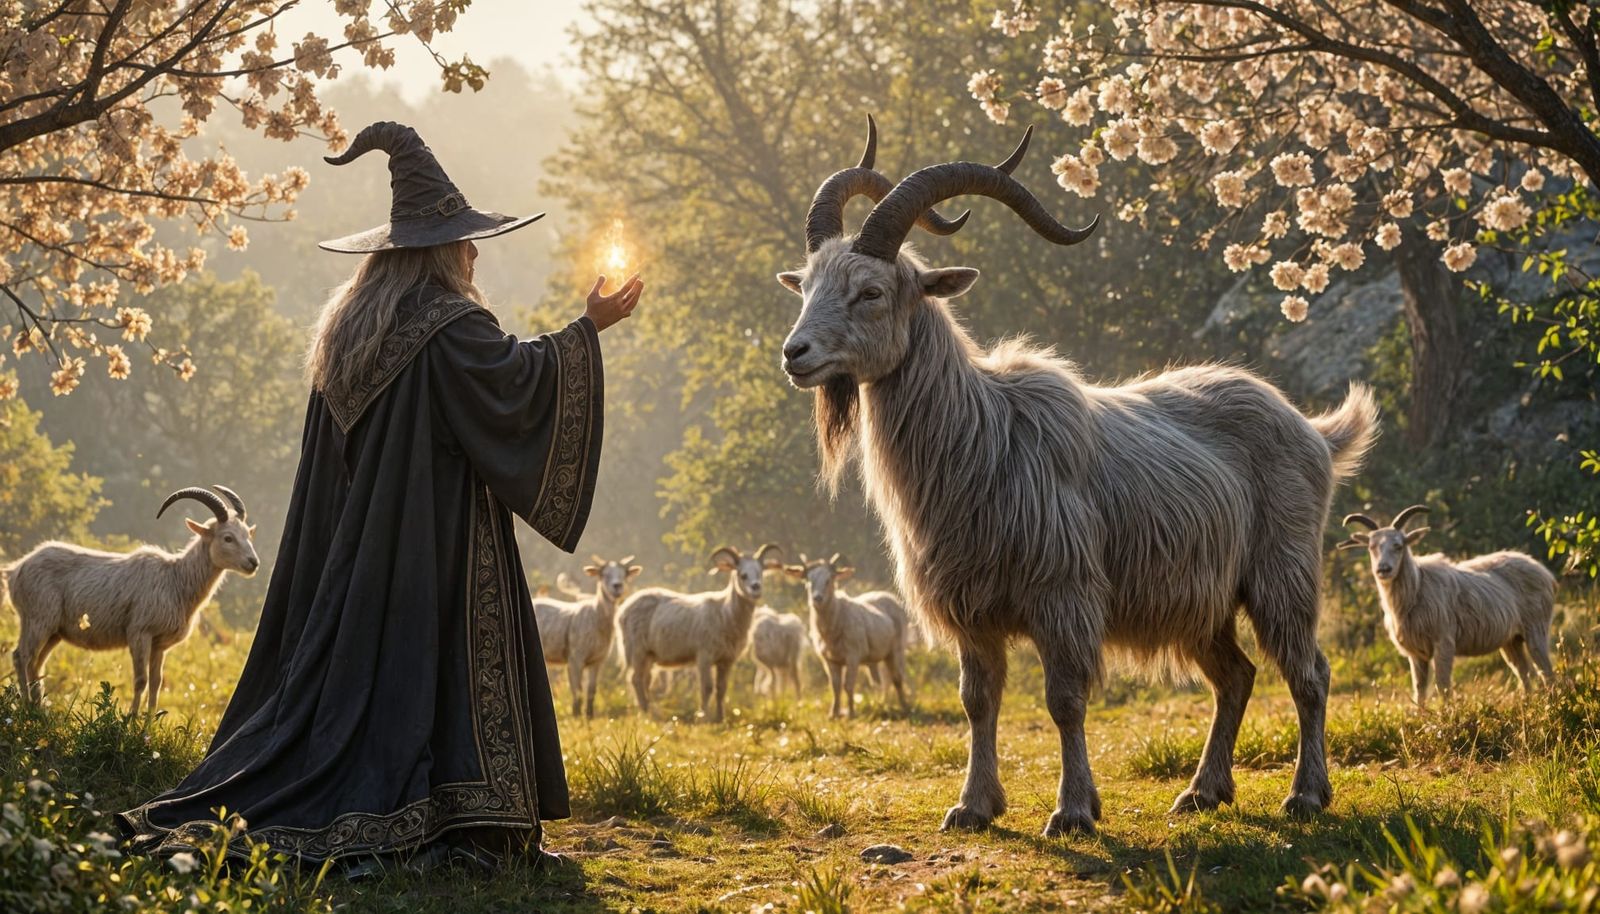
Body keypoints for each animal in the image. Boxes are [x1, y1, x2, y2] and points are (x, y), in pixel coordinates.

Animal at [5, 486, 259, 713]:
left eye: (248, 534)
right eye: (227, 537)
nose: (253, 563)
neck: (175, 580)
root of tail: (16, 570)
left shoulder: (159, 644)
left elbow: (156, 683)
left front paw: (148, 726)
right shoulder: (139, 633)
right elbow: (140, 680)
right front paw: (130, 722)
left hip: (54, 631)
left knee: (36, 663)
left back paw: (40, 710)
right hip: (38, 619)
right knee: (21, 656)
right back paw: (26, 708)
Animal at [533, 554, 640, 719]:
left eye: (624, 574)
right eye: (604, 574)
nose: (617, 586)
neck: (596, 615)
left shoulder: (597, 660)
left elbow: (591, 690)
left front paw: (589, 716)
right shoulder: (576, 658)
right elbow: (577, 690)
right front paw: (576, 716)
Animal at [616, 544, 784, 723]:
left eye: (761, 573)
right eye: (742, 575)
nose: (756, 587)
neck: (725, 611)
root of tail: (624, 607)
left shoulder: (727, 659)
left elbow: (722, 688)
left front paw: (720, 718)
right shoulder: (704, 655)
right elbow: (707, 687)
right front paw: (703, 717)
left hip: (649, 653)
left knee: (645, 679)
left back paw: (649, 710)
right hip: (636, 648)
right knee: (636, 679)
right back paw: (646, 712)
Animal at [785, 555, 909, 718]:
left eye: (829, 580)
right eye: (808, 581)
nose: (817, 598)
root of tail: (887, 595)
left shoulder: (853, 655)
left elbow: (848, 686)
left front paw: (851, 713)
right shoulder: (830, 659)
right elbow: (835, 687)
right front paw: (834, 713)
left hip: (896, 648)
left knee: (897, 678)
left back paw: (904, 706)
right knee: (881, 681)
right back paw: (883, 704)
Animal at [1339, 506, 1556, 704]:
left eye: (1398, 545)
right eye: (1371, 547)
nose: (1383, 569)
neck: (1417, 589)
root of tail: (1544, 572)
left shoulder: (1443, 642)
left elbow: (1442, 686)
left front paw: (1448, 717)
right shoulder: (1416, 653)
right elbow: (1419, 690)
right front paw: (1421, 719)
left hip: (1536, 627)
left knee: (1547, 672)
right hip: (1511, 639)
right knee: (1523, 672)